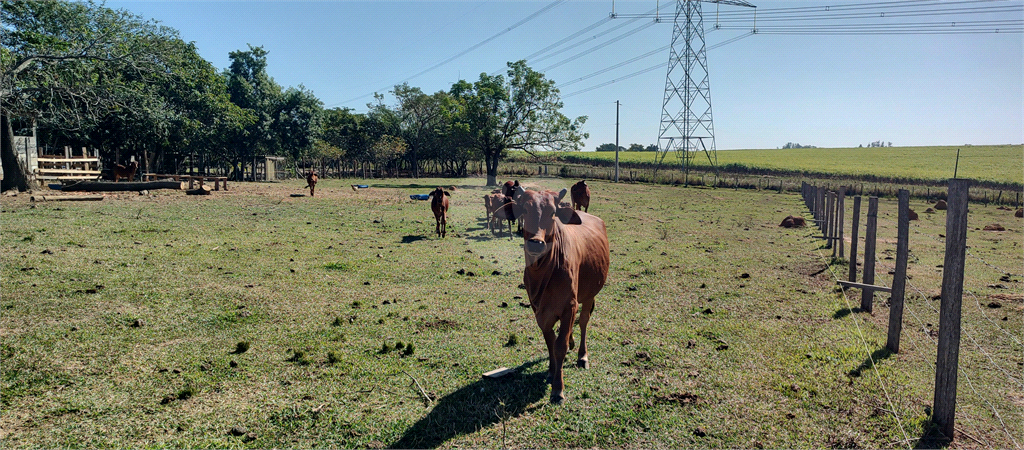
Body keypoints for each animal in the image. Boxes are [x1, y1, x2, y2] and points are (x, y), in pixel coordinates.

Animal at [512, 186, 606, 405]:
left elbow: (559, 346)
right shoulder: (538, 309)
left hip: (588, 295)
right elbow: (550, 342)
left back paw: (582, 356)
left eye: (552, 213)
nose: (536, 243)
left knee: (583, 321)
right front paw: (551, 371)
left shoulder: (569, 306)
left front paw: (557, 389)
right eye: (525, 210)